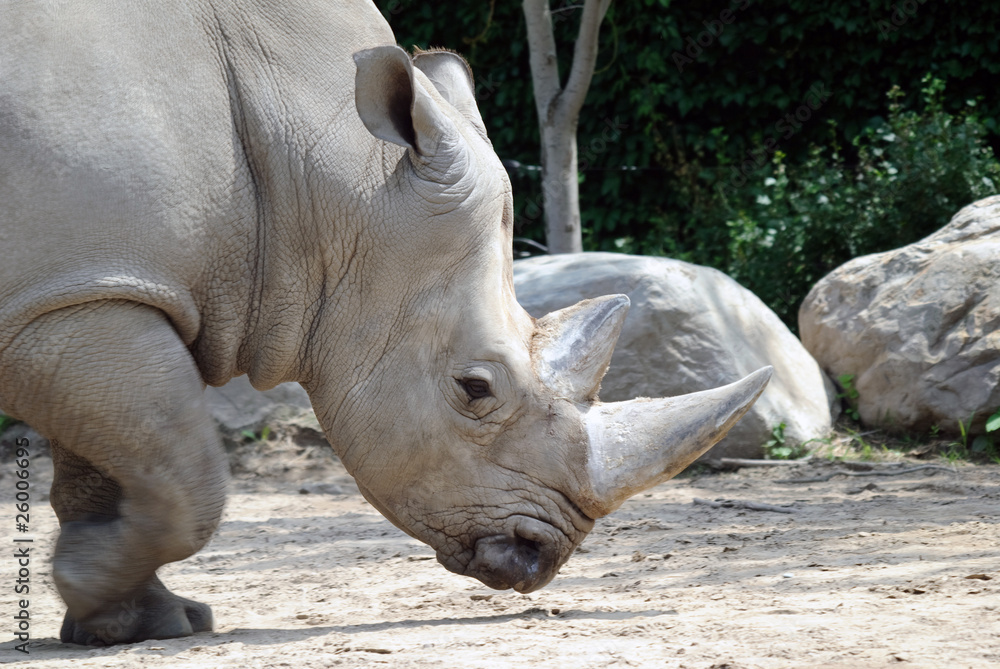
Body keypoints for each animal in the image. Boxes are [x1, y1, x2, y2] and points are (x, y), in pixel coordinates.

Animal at [0, 0, 770, 646]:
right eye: (475, 389)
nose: (536, 556)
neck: (322, 179)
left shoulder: (95, 288)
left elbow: (117, 462)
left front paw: (139, 621)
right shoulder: (73, 297)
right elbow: (187, 471)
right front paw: (89, 583)